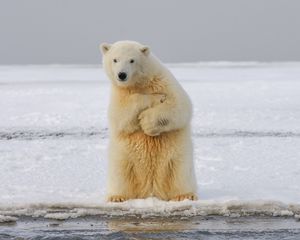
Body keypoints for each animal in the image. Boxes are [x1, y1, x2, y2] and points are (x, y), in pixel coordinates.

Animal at [101, 40, 198, 202]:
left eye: (132, 60)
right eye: (115, 59)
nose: (122, 75)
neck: (140, 83)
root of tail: (151, 190)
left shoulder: (164, 81)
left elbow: (180, 105)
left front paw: (147, 122)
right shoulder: (119, 93)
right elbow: (120, 115)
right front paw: (155, 98)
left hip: (178, 156)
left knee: (180, 171)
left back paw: (184, 195)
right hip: (123, 157)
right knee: (120, 172)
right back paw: (117, 197)